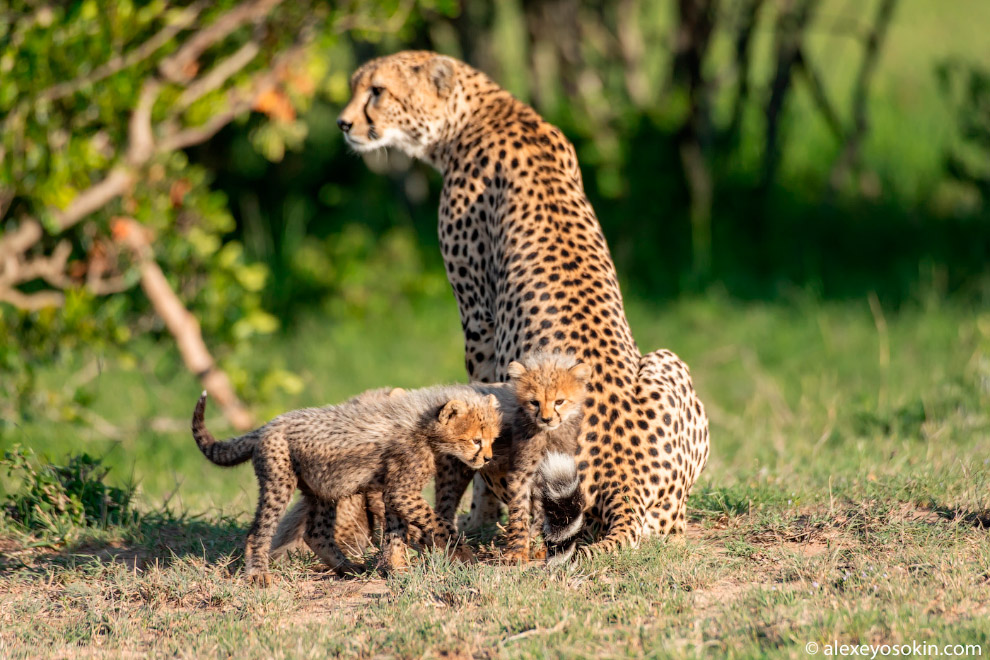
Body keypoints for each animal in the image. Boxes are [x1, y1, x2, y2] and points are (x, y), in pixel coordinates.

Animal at [340, 51, 712, 556]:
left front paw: (478, 521)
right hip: (668, 362)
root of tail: (623, 479)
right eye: (358, 87)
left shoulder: (479, 320)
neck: (479, 111)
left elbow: (477, 440)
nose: (343, 124)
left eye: (377, 91)